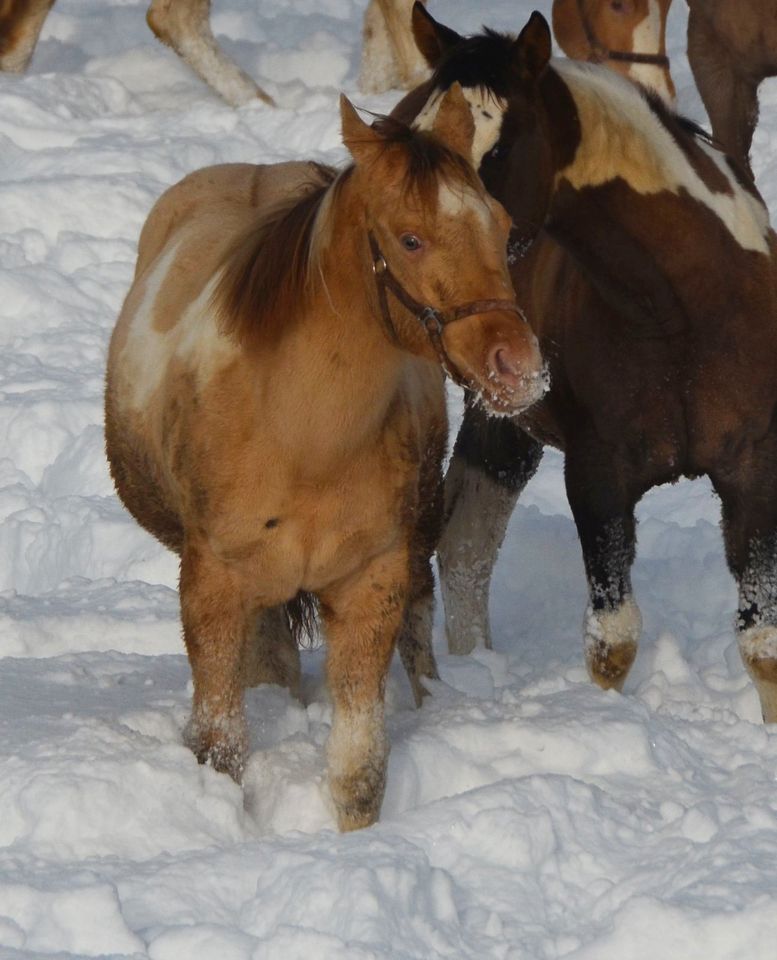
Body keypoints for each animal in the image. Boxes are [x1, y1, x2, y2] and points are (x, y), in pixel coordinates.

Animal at [103, 86, 544, 828]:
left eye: (503, 224)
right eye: (410, 238)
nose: (519, 369)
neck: (300, 434)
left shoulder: (372, 581)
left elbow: (358, 769)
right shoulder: (212, 585)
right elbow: (220, 746)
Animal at [398, 3, 776, 728]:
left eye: (497, 148)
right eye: (413, 140)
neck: (680, 311)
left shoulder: (753, 470)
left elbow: (760, 640)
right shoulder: (598, 476)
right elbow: (613, 640)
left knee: (465, 544)